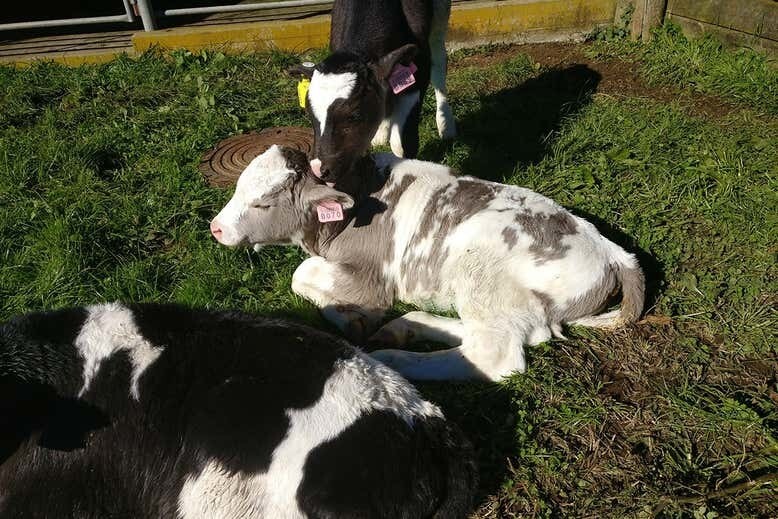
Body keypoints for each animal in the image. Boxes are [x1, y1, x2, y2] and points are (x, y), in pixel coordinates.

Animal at [208, 146, 644, 382]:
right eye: (238, 187)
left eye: (263, 203)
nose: (216, 228)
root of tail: (610, 250)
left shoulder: (372, 276)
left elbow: (303, 275)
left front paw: (352, 317)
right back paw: (404, 328)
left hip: (482, 270)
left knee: (497, 354)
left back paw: (395, 358)